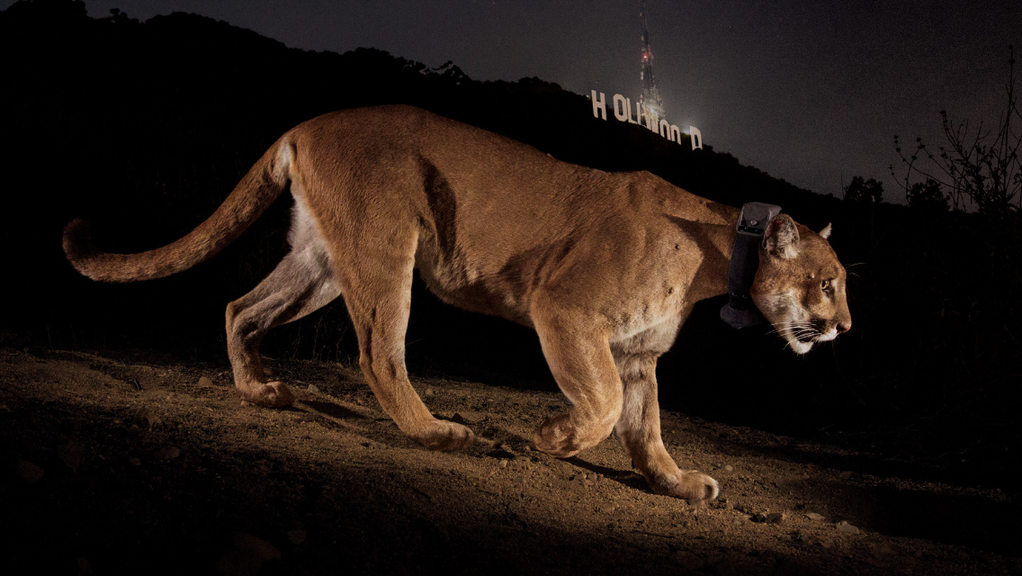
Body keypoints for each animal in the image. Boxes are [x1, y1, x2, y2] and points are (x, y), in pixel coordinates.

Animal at [61, 105, 846, 502]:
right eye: (830, 282)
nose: (843, 326)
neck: (718, 253)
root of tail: (308, 123)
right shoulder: (565, 311)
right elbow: (600, 408)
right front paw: (551, 437)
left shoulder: (637, 353)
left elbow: (644, 429)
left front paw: (678, 483)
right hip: (386, 246)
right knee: (378, 354)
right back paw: (442, 433)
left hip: (321, 261)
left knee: (238, 308)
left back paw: (261, 390)